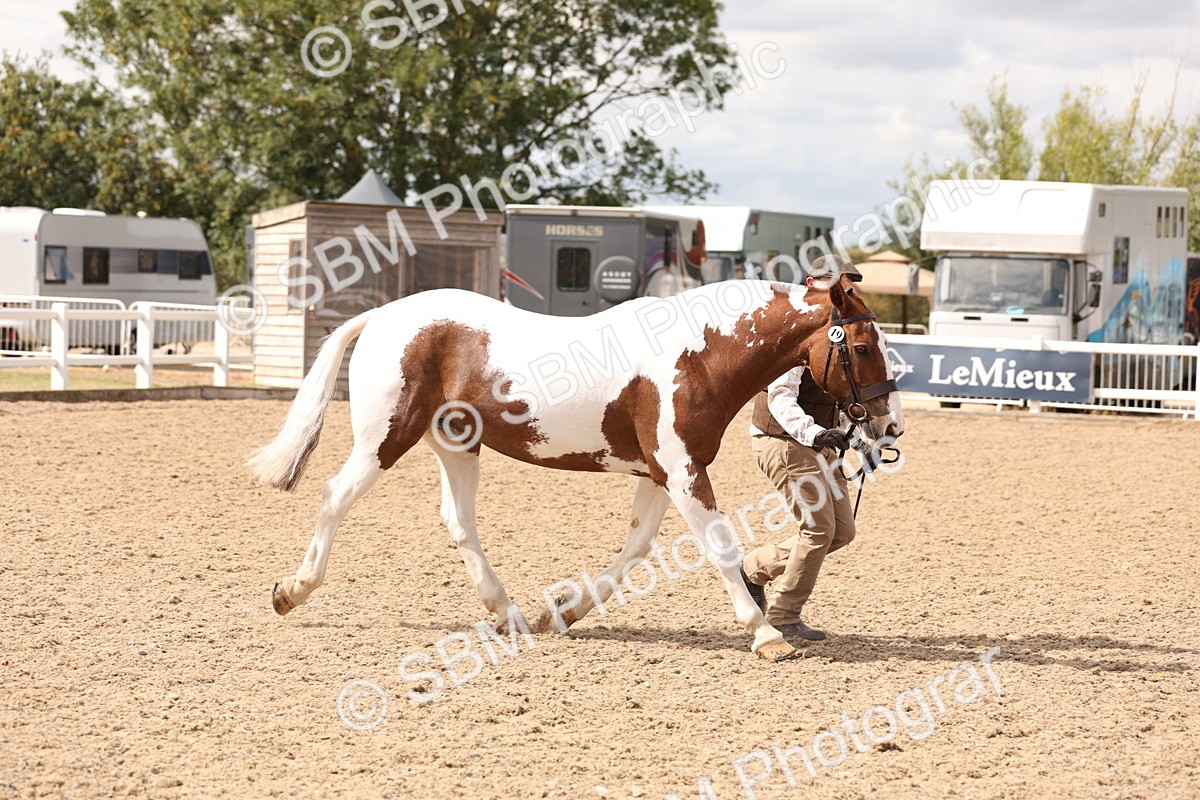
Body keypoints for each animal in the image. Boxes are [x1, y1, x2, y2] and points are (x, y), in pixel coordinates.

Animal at [249, 278, 904, 662]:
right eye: (862, 346)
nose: (888, 425)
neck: (699, 353)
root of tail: (383, 316)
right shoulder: (682, 471)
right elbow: (719, 548)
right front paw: (765, 634)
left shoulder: (659, 474)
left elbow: (634, 552)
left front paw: (561, 611)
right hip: (383, 440)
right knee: (335, 497)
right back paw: (290, 591)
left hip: (457, 446)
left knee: (459, 523)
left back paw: (511, 615)